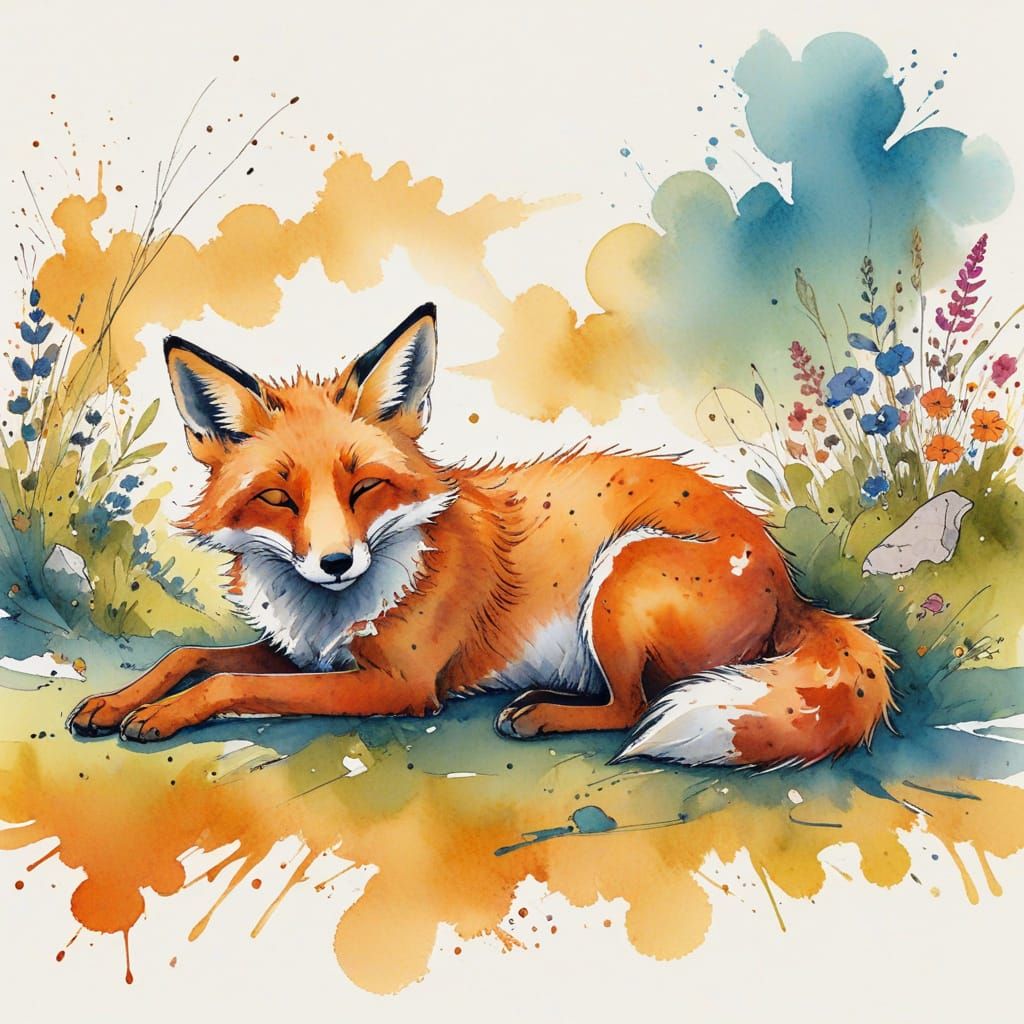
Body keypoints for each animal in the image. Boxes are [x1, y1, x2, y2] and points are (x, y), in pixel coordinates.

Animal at [67, 303, 896, 766]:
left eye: (363, 487)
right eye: (277, 496)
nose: (335, 563)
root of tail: (791, 590)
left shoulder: (397, 685)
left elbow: (230, 683)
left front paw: (155, 717)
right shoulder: (307, 652)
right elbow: (191, 657)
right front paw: (115, 702)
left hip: (620, 575)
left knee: (633, 709)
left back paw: (541, 715)